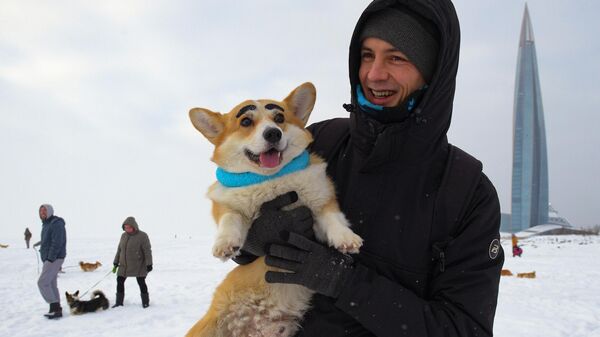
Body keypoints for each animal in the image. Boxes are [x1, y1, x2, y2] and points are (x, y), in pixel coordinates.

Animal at [188, 82, 364, 336]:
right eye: (245, 122)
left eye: (279, 118)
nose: (273, 133)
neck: (270, 180)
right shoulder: (227, 205)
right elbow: (230, 219)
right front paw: (225, 245)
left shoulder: (321, 201)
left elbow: (332, 218)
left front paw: (346, 239)